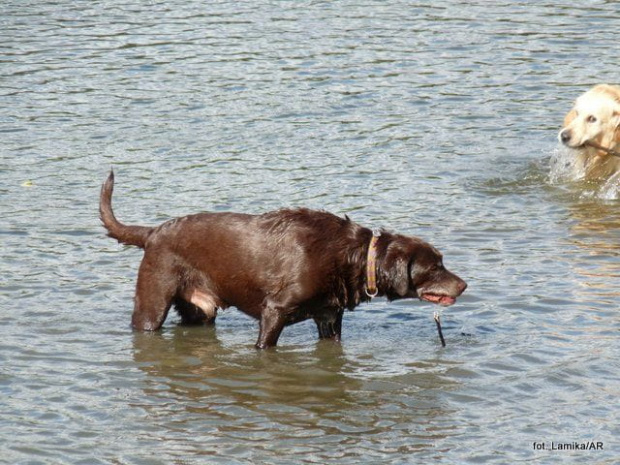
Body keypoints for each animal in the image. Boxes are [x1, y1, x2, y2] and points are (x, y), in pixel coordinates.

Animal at [100, 171, 464, 348]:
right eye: (435, 266)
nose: (464, 285)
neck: (353, 258)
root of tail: (153, 232)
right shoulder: (274, 312)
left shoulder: (329, 317)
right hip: (152, 304)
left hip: (199, 311)